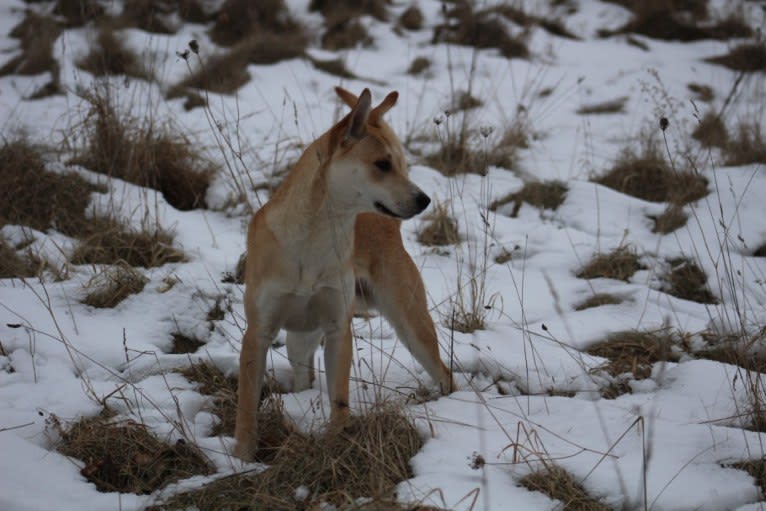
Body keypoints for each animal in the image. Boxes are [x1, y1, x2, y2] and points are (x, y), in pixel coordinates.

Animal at [231, 86, 452, 462]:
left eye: (398, 163)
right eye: (382, 164)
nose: (424, 200)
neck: (315, 236)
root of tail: (385, 224)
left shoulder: (338, 329)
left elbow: (339, 399)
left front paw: (336, 442)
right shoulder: (258, 333)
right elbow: (246, 405)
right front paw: (243, 458)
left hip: (411, 324)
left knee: (445, 373)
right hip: (299, 339)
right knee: (303, 372)